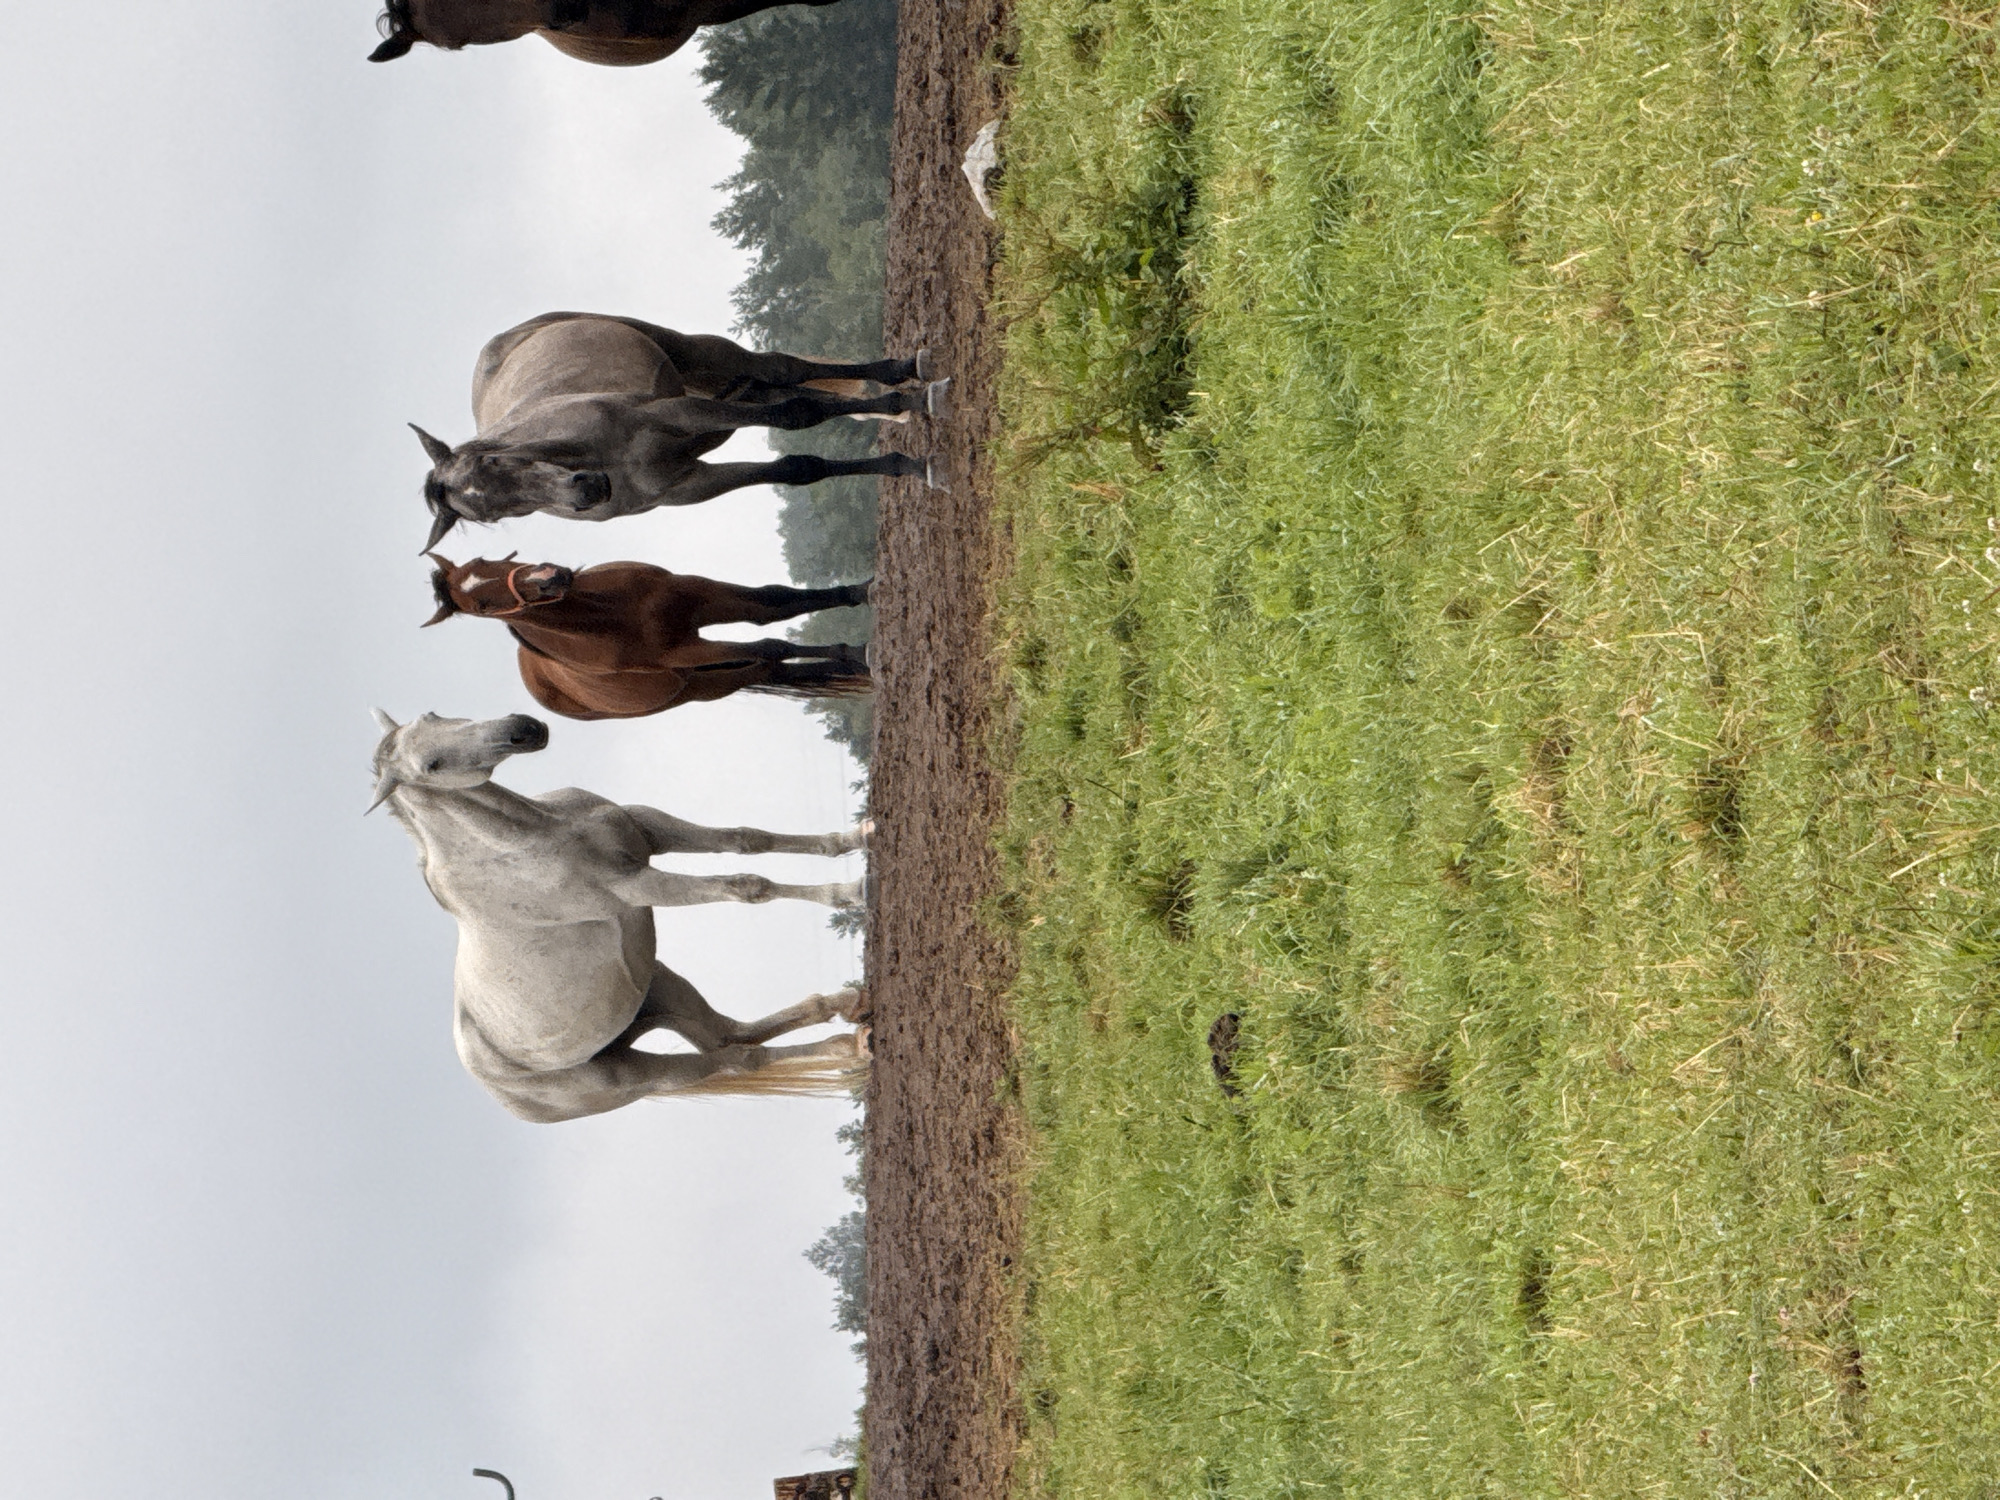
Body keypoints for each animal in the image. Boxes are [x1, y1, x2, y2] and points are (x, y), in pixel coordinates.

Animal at [369, 710, 870, 1121]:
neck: (529, 837)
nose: (523, 729)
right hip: (638, 1074)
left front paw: (856, 839)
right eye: (431, 767)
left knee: (730, 1033)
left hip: (660, 990)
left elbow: (747, 838)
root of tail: (505, 1095)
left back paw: (849, 1009)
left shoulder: (648, 829)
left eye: (433, 715)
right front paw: (850, 893)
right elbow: (748, 887)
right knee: (736, 1059)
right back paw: (852, 1040)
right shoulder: (637, 886)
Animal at [410, 311, 948, 550]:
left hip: (699, 354)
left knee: (784, 369)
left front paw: (913, 409)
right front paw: (907, 463)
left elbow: (799, 414)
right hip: (729, 399)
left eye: (495, 458)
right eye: (496, 515)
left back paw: (909, 372)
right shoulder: (692, 482)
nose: (587, 490)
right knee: (786, 387)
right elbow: (799, 467)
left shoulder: (684, 413)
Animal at [423, 552, 871, 720]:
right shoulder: (684, 651)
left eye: (486, 560)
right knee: (768, 665)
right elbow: (772, 644)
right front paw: (861, 651)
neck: (614, 615)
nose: (550, 577)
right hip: (709, 682)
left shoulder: (700, 595)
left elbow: (775, 602)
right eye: (481, 607)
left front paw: (864, 592)